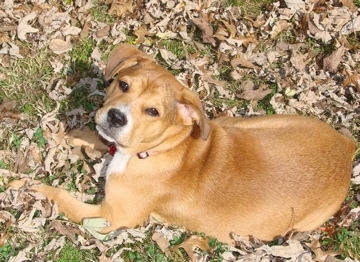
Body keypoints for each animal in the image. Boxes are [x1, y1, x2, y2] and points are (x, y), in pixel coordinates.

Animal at [9, 44, 358, 244]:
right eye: (123, 85)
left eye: (153, 111)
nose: (116, 117)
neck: (154, 151)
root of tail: (346, 148)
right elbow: (94, 136)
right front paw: (68, 134)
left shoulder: (111, 216)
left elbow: (62, 198)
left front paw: (25, 186)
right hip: (248, 123)